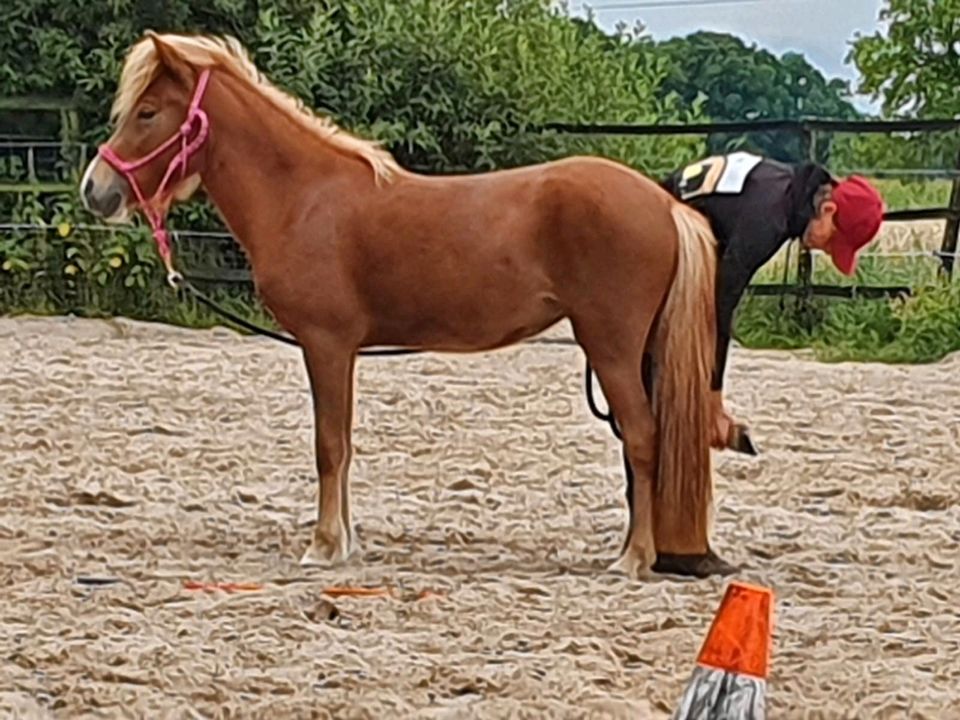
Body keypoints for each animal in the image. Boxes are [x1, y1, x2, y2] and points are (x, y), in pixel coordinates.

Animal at [80, 31, 736, 580]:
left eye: (147, 112)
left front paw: (322, 545)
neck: (306, 197)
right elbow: (343, 445)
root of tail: (664, 203)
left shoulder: (326, 344)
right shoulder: (340, 352)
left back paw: (631, 559)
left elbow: (328, 446)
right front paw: (343, 541)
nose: (95, 191)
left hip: (610, 344)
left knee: (643, 438)